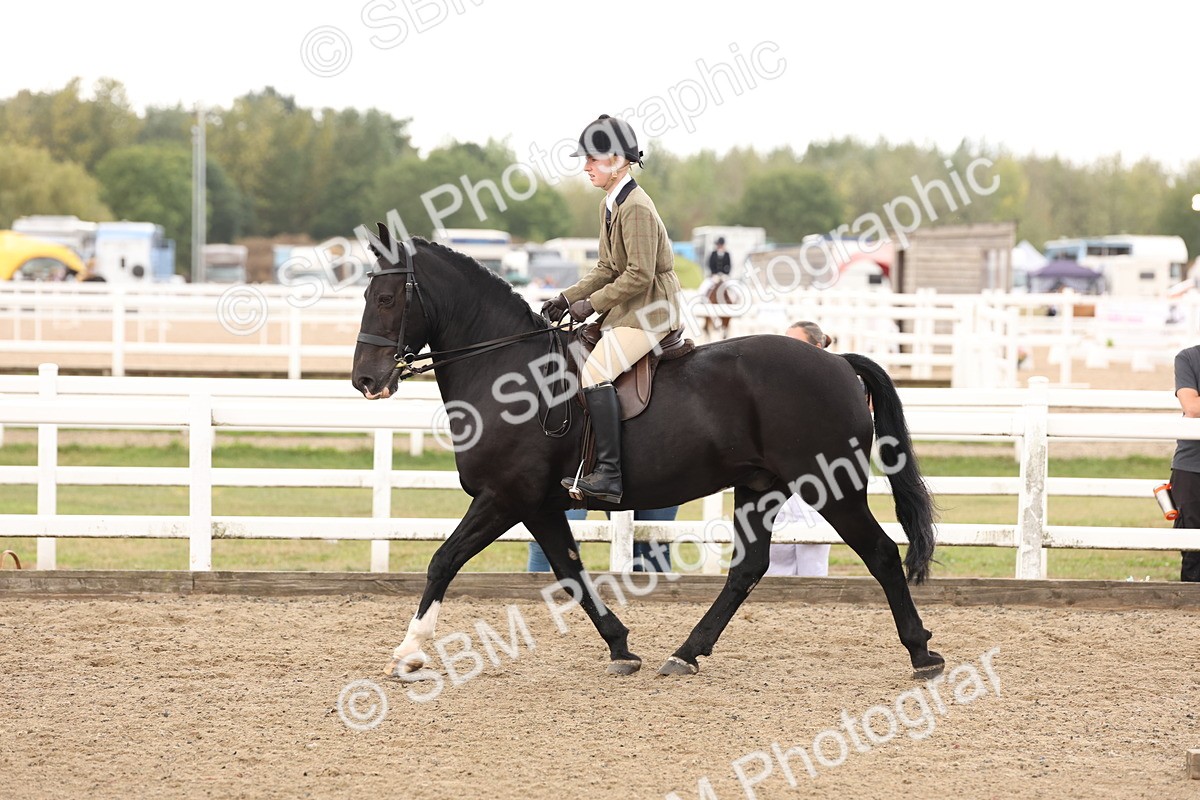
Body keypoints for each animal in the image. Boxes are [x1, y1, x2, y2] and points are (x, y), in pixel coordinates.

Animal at [351, 227, 944, 680]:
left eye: (386, 299)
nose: (365, 381)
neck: (508, 372)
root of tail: (838, 362)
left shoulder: (505, 497)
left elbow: (443, 560)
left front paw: (409, 652)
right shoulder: (539, 505)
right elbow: (570, 573)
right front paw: (620, 645)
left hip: (830, 486)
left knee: (881, 555)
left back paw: (921, 652)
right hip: (759, 487)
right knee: (747, 568)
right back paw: (686, 654)